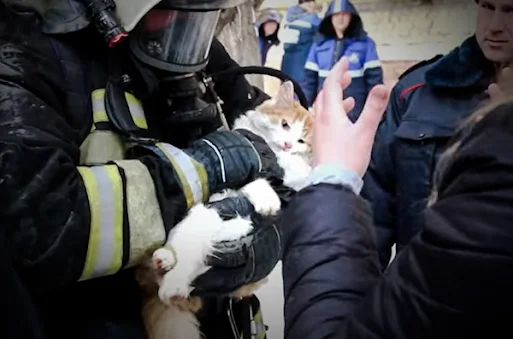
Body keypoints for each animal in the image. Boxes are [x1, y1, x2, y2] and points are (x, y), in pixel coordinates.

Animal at [135, 81, 312, 339]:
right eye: (284, 124)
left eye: (301, 141)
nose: (288, 144)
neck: (270, 151)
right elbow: (255, 179)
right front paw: (266, 196)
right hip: (199, 217)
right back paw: (167, 262)